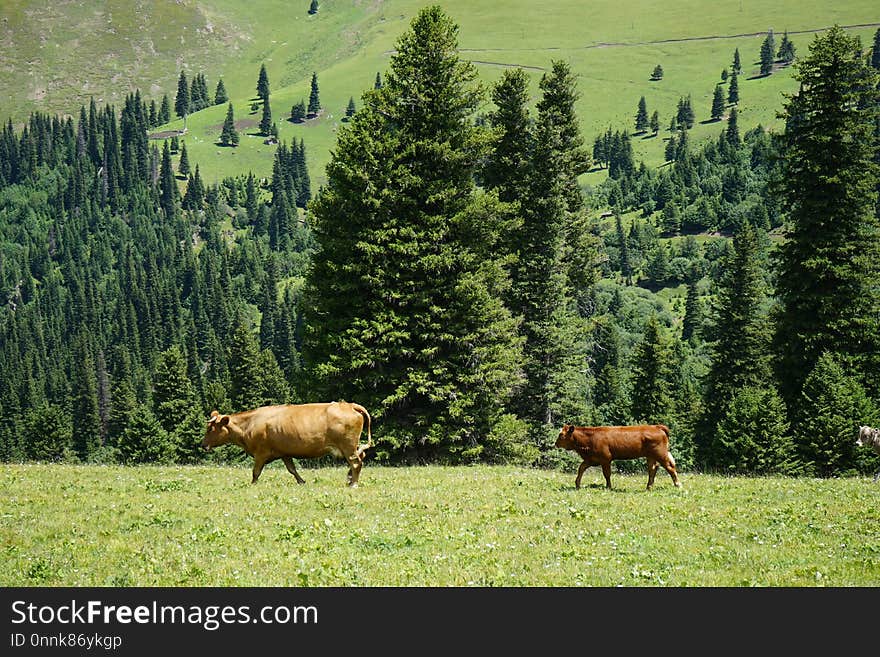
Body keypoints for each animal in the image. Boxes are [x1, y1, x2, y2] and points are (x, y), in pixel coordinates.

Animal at [201, 400, 372, 486]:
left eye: (210, 428)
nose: (202, 444)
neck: (249, 424)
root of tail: (349, 405)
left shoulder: (260, 453)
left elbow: (256, 472)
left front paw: (253, 484)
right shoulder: (284, 453)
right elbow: (292, 469)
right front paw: (302, 482)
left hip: (347, 445)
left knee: (356, 462)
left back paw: (353, 483)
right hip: (352, 446)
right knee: (360, 457)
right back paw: (349, 479)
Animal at [552, 422, 684, 490]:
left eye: (561, 435)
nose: (555, 443)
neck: (590, 438)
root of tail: (656, 426)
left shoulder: (605, 459)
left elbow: (607, 474)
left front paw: (608, 487)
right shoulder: (591, 459)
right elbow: (581, 469)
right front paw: (577, 484)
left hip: (660, 454)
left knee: (670, 467)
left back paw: (678, 484)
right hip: (650, 456)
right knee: (652, 470)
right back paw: (648, 487)